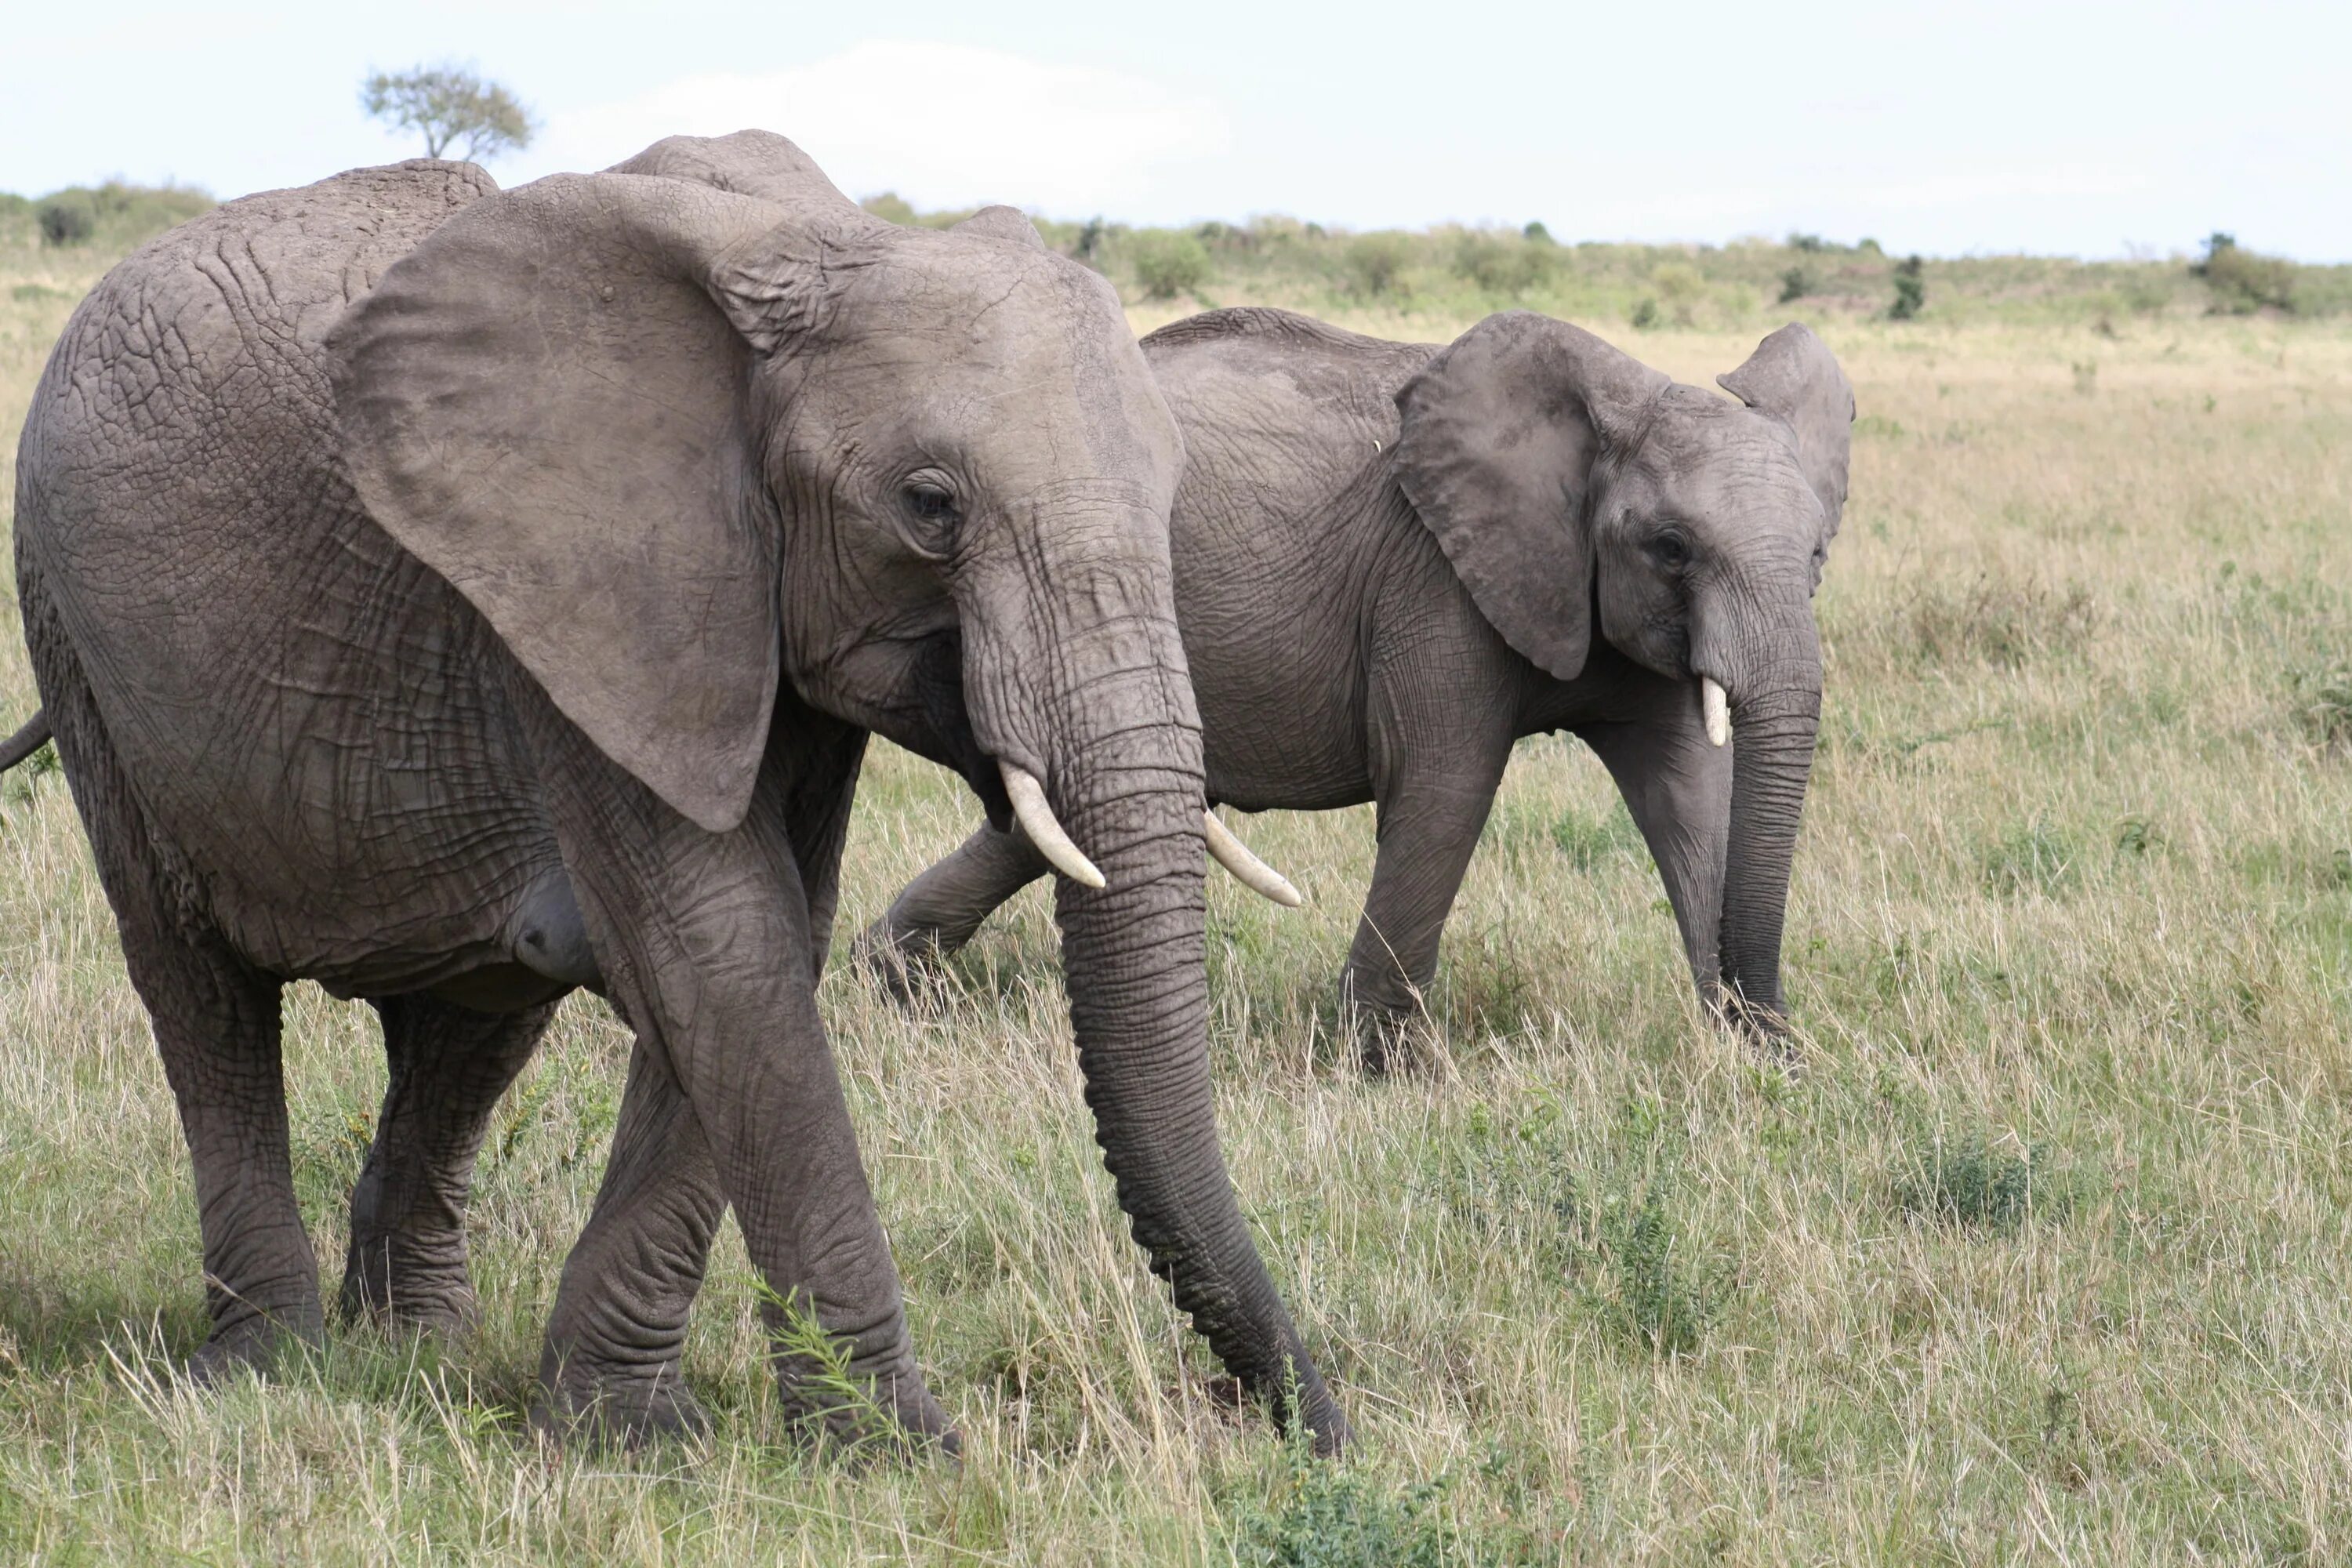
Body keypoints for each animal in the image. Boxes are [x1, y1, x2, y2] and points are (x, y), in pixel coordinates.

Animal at [9, 131, 1355, 1448]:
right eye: (929, 506)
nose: (1314, 1428)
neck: (816, 244)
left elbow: (765, 941)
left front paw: (620, 1430)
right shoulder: (587, 587)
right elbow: (721, 945)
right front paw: (898, 1450)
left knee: (477, 1014)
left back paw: (411, 1349)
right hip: (74, 635)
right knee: (201, 991)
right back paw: (264, 1368)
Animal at [866, 303, 1853, 1067]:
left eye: (1817, 553)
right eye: (1672, 546)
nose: (1776, 1030)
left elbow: (1690, 795)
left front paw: (1768, 1064)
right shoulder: (1434, 575)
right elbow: (1445, 784)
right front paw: (1397, 1074)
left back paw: (896, 980)